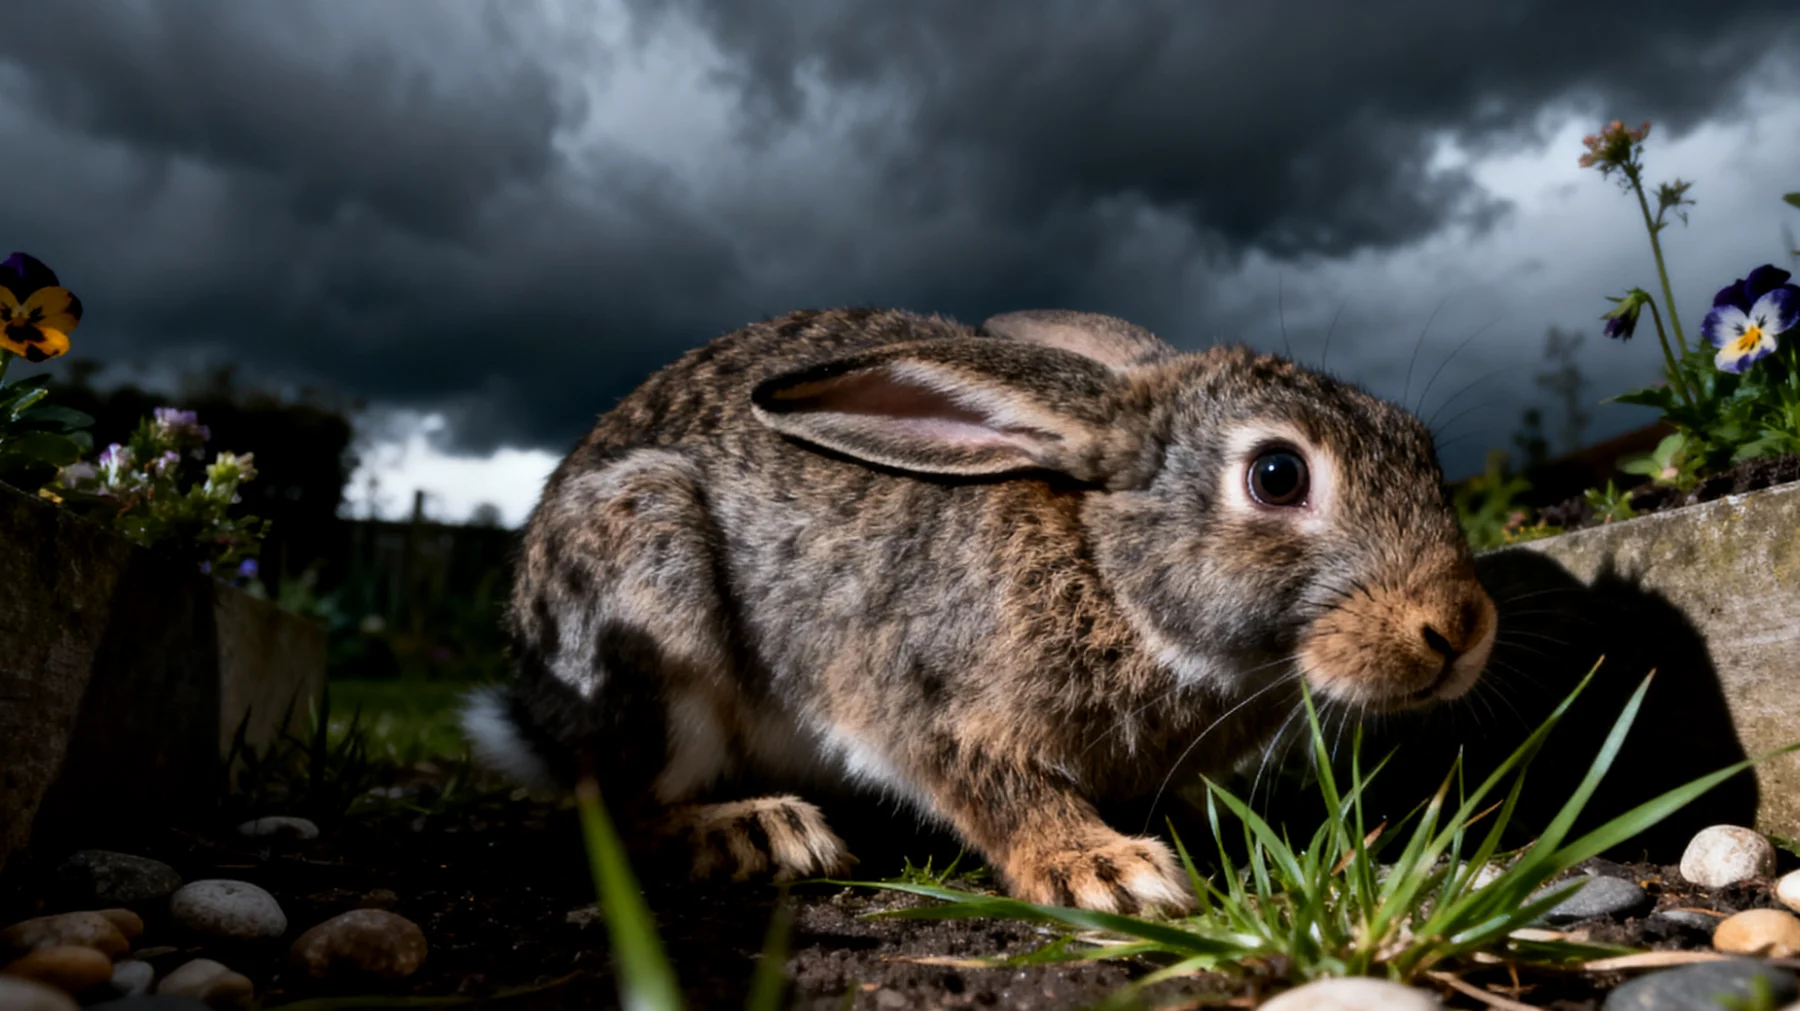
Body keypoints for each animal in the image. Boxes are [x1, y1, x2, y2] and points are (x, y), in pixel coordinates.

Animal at [459, 306, 1497, 915]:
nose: (1457, 629)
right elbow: (995, 785)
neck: (1109, 574)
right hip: (652, 589)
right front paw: (1109, 871)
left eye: (1422, 449)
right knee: (615, 804)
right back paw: (756, 831)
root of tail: (537, 711)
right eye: (1277, 475)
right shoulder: (925, 702)